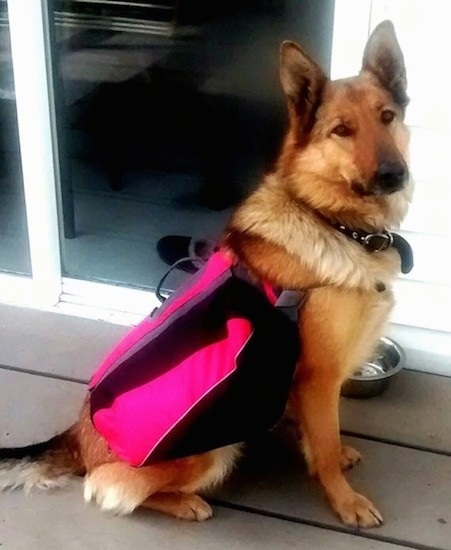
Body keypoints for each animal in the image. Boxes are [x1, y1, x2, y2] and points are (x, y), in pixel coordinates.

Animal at [0, 20, 414, 532]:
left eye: (387, 117)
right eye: (342, 131)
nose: (395, 174)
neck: (328, 219)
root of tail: (79, 436)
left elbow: (319, 437)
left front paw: (325, 452)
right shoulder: (320, 378)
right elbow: (326, 445)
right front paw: (345, 498)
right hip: (213, 451)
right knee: (105, 487)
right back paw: (183, 503)